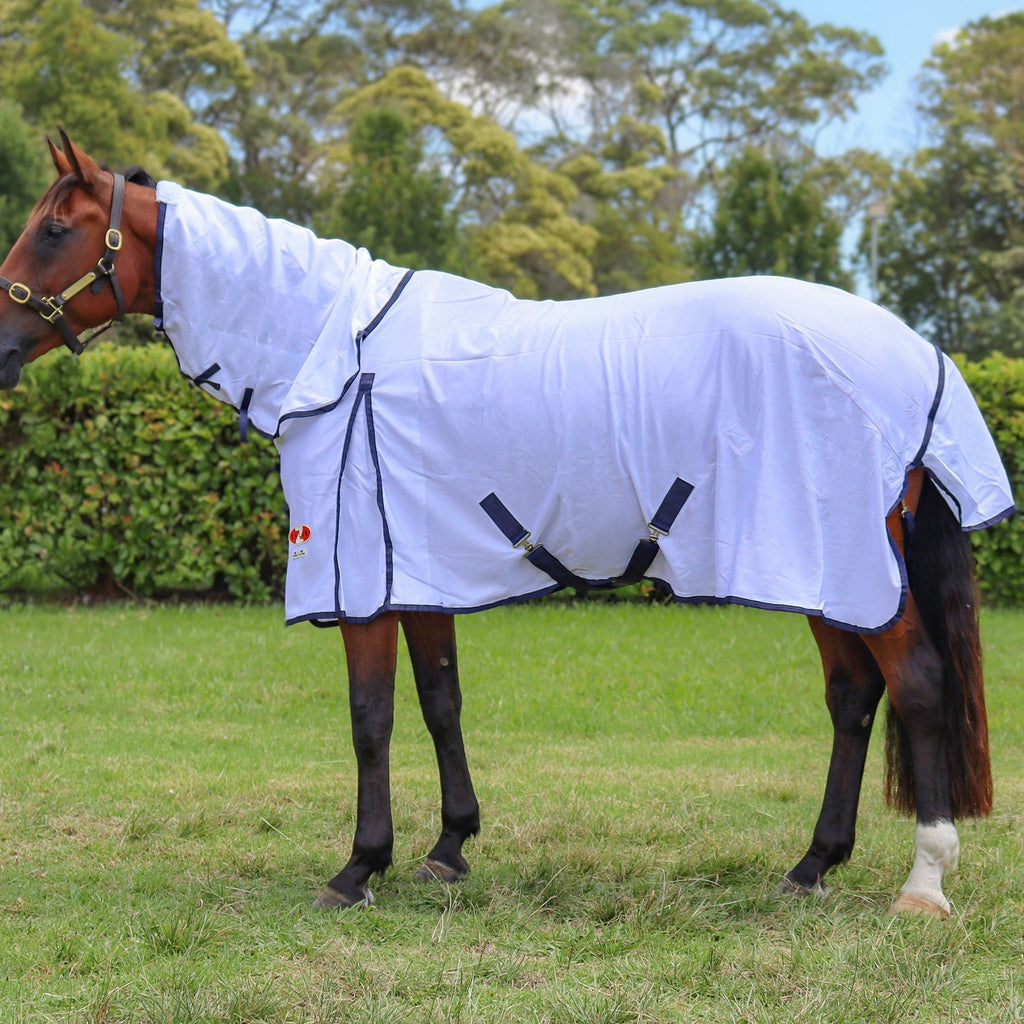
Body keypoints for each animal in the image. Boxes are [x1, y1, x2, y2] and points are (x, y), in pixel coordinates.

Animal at [0, 133, 1015, 918]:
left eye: (54, 229)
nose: (0, 347)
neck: (332, 347)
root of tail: (919, 354)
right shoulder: (419, 569)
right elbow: (439, 701)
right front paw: (448, 849)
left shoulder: (360, 582)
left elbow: (371, 718)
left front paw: (358, 868)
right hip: (820, 571)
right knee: (854, 698)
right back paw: (811, 866)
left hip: (845, 565)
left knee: (918, 686)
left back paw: (923, 885)